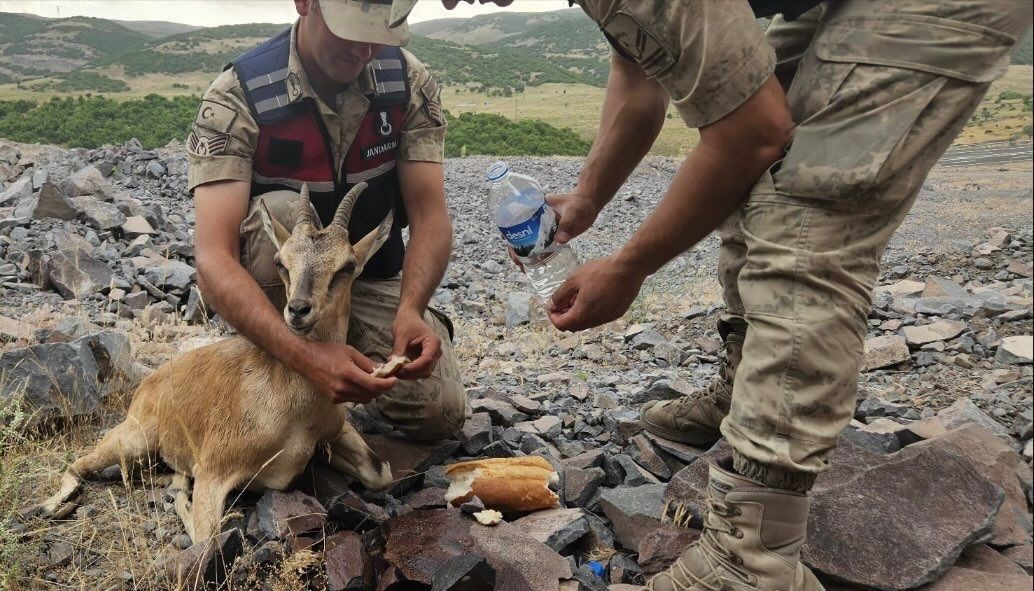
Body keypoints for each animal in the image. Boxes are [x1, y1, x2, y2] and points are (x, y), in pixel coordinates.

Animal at [42, 180, 392, 545]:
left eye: (347, 266)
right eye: (282, 262)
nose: (298, 310)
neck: (297, 407)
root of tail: (149, 384)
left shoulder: (335, 430)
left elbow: (381, 473)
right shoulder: (213, 471)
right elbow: (207, 534)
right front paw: (182, 496)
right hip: (132, 439)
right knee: (77, 465)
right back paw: (54, 506)